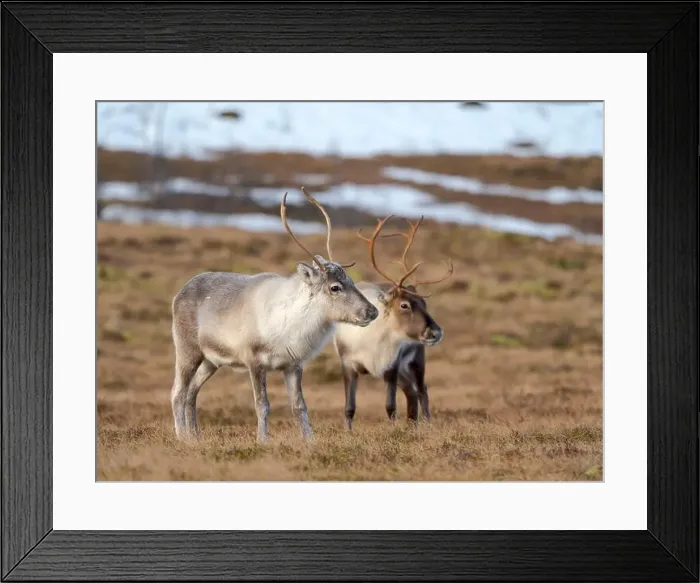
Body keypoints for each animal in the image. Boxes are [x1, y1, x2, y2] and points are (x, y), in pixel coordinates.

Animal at [170, 187, 379, 442]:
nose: (372, 311)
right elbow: (262, 405)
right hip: (188, 351)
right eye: (335, 287)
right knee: (178, 392)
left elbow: (299, 406)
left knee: (192, 392)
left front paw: (310, 441)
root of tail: (179, 293)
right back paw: (182, 437)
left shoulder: (293, 365)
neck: (290, 323)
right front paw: (262, 440)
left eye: (350, 280)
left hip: (211, 361)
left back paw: (196, 437)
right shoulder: (254, 362)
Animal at [332, 214, 454, 430]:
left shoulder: (391, 366)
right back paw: (413, 425)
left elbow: (390, 406)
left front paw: (394, 430)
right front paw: (348, 432)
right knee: (411, 392)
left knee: (421, 390)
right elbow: (349, 407)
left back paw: (426, 424)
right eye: (404, 305)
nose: (436, 332)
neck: (371, 339)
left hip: (415, 361)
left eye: (424, 303)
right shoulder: (348, 364)